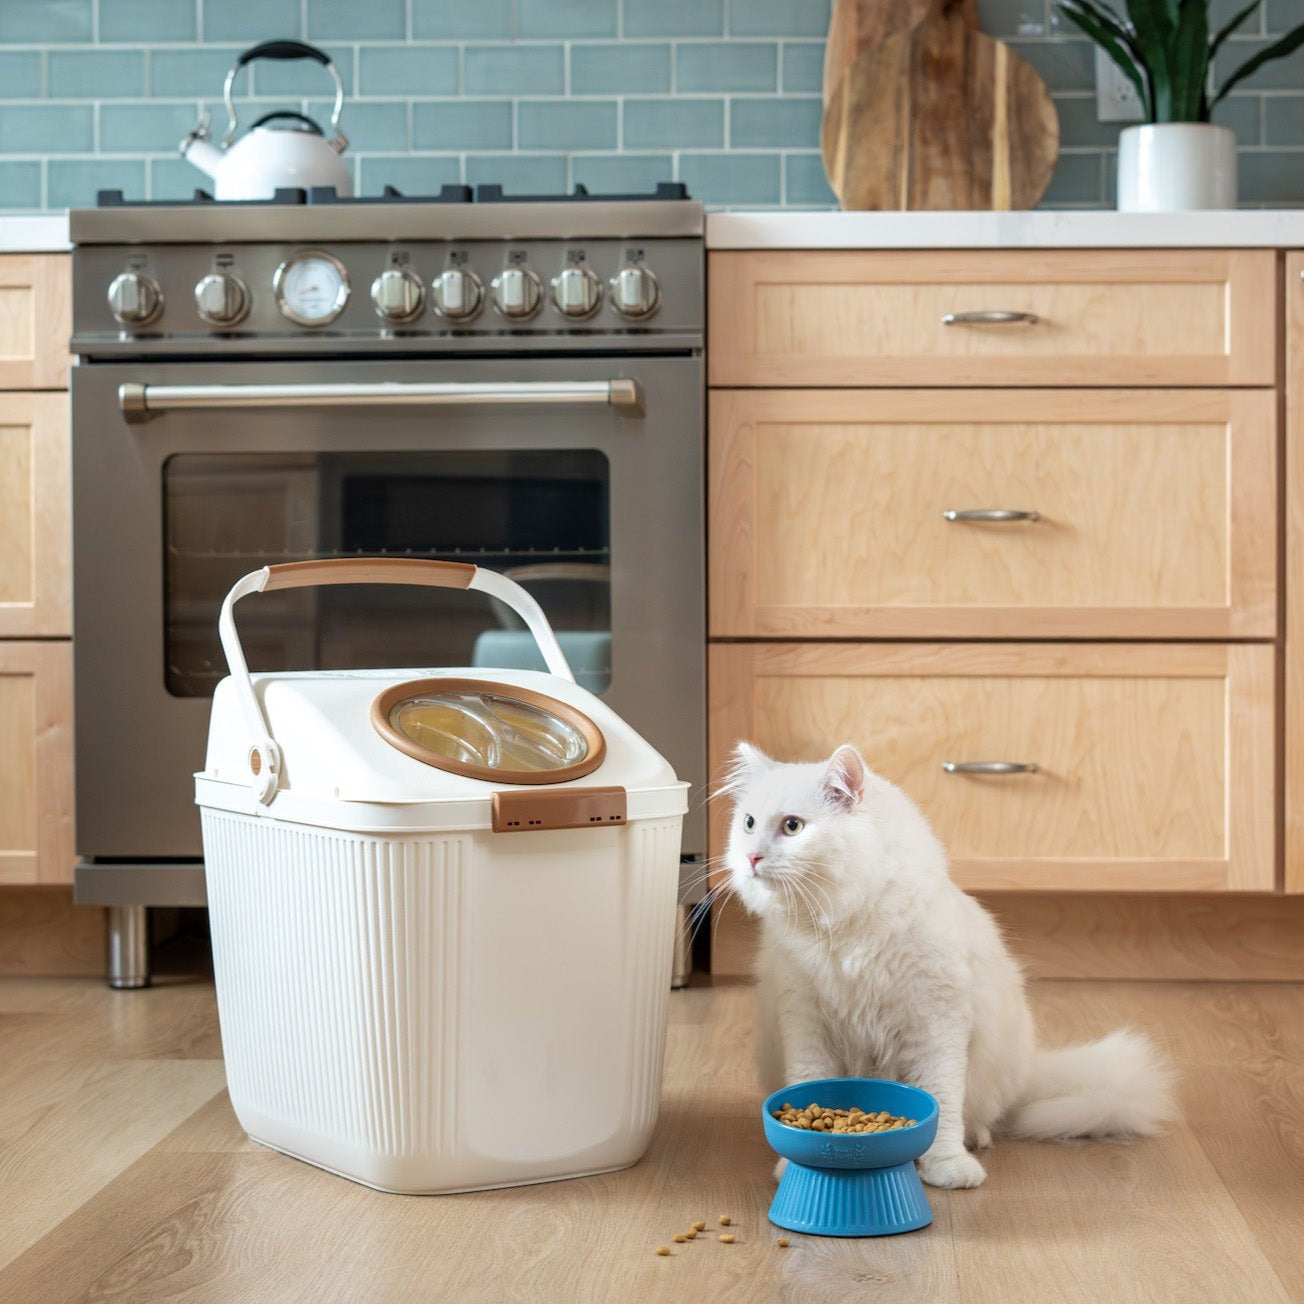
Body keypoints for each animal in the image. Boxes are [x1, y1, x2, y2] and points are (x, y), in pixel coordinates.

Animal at [730, 740, 1178, 1189]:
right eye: (749, 823)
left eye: (792, 827)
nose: (751, 857)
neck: (842, 922)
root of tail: (1031, 1068)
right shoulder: (805, 1018)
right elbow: (810, 1079)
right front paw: (791, 1162)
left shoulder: (936, 1021)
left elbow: (942, 1100)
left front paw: (947, 1167)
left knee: (980, 1115)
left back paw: (976, 1139)